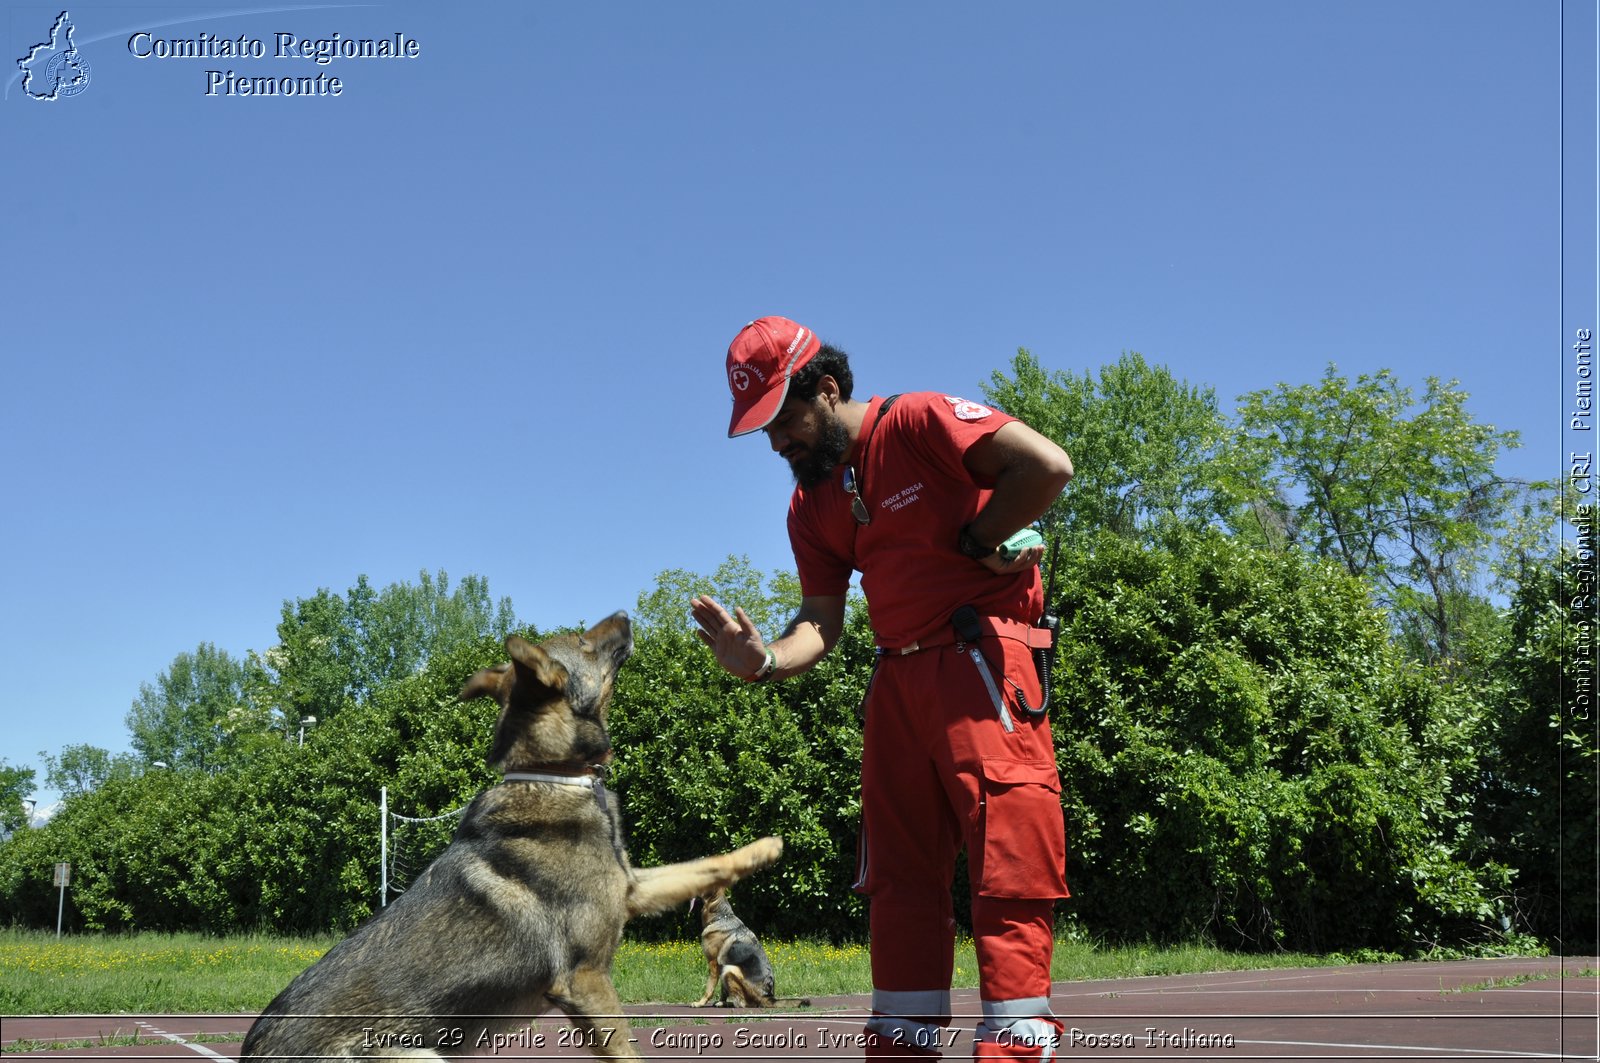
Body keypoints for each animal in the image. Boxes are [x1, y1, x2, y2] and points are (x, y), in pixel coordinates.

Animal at [240, 614, 784, 1063]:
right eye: (583, 642)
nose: (626, 614)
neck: (555, 776)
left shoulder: (631, 887)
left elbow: (705, 863)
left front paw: (767, 847)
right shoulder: (585, 980)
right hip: (414, 1055)